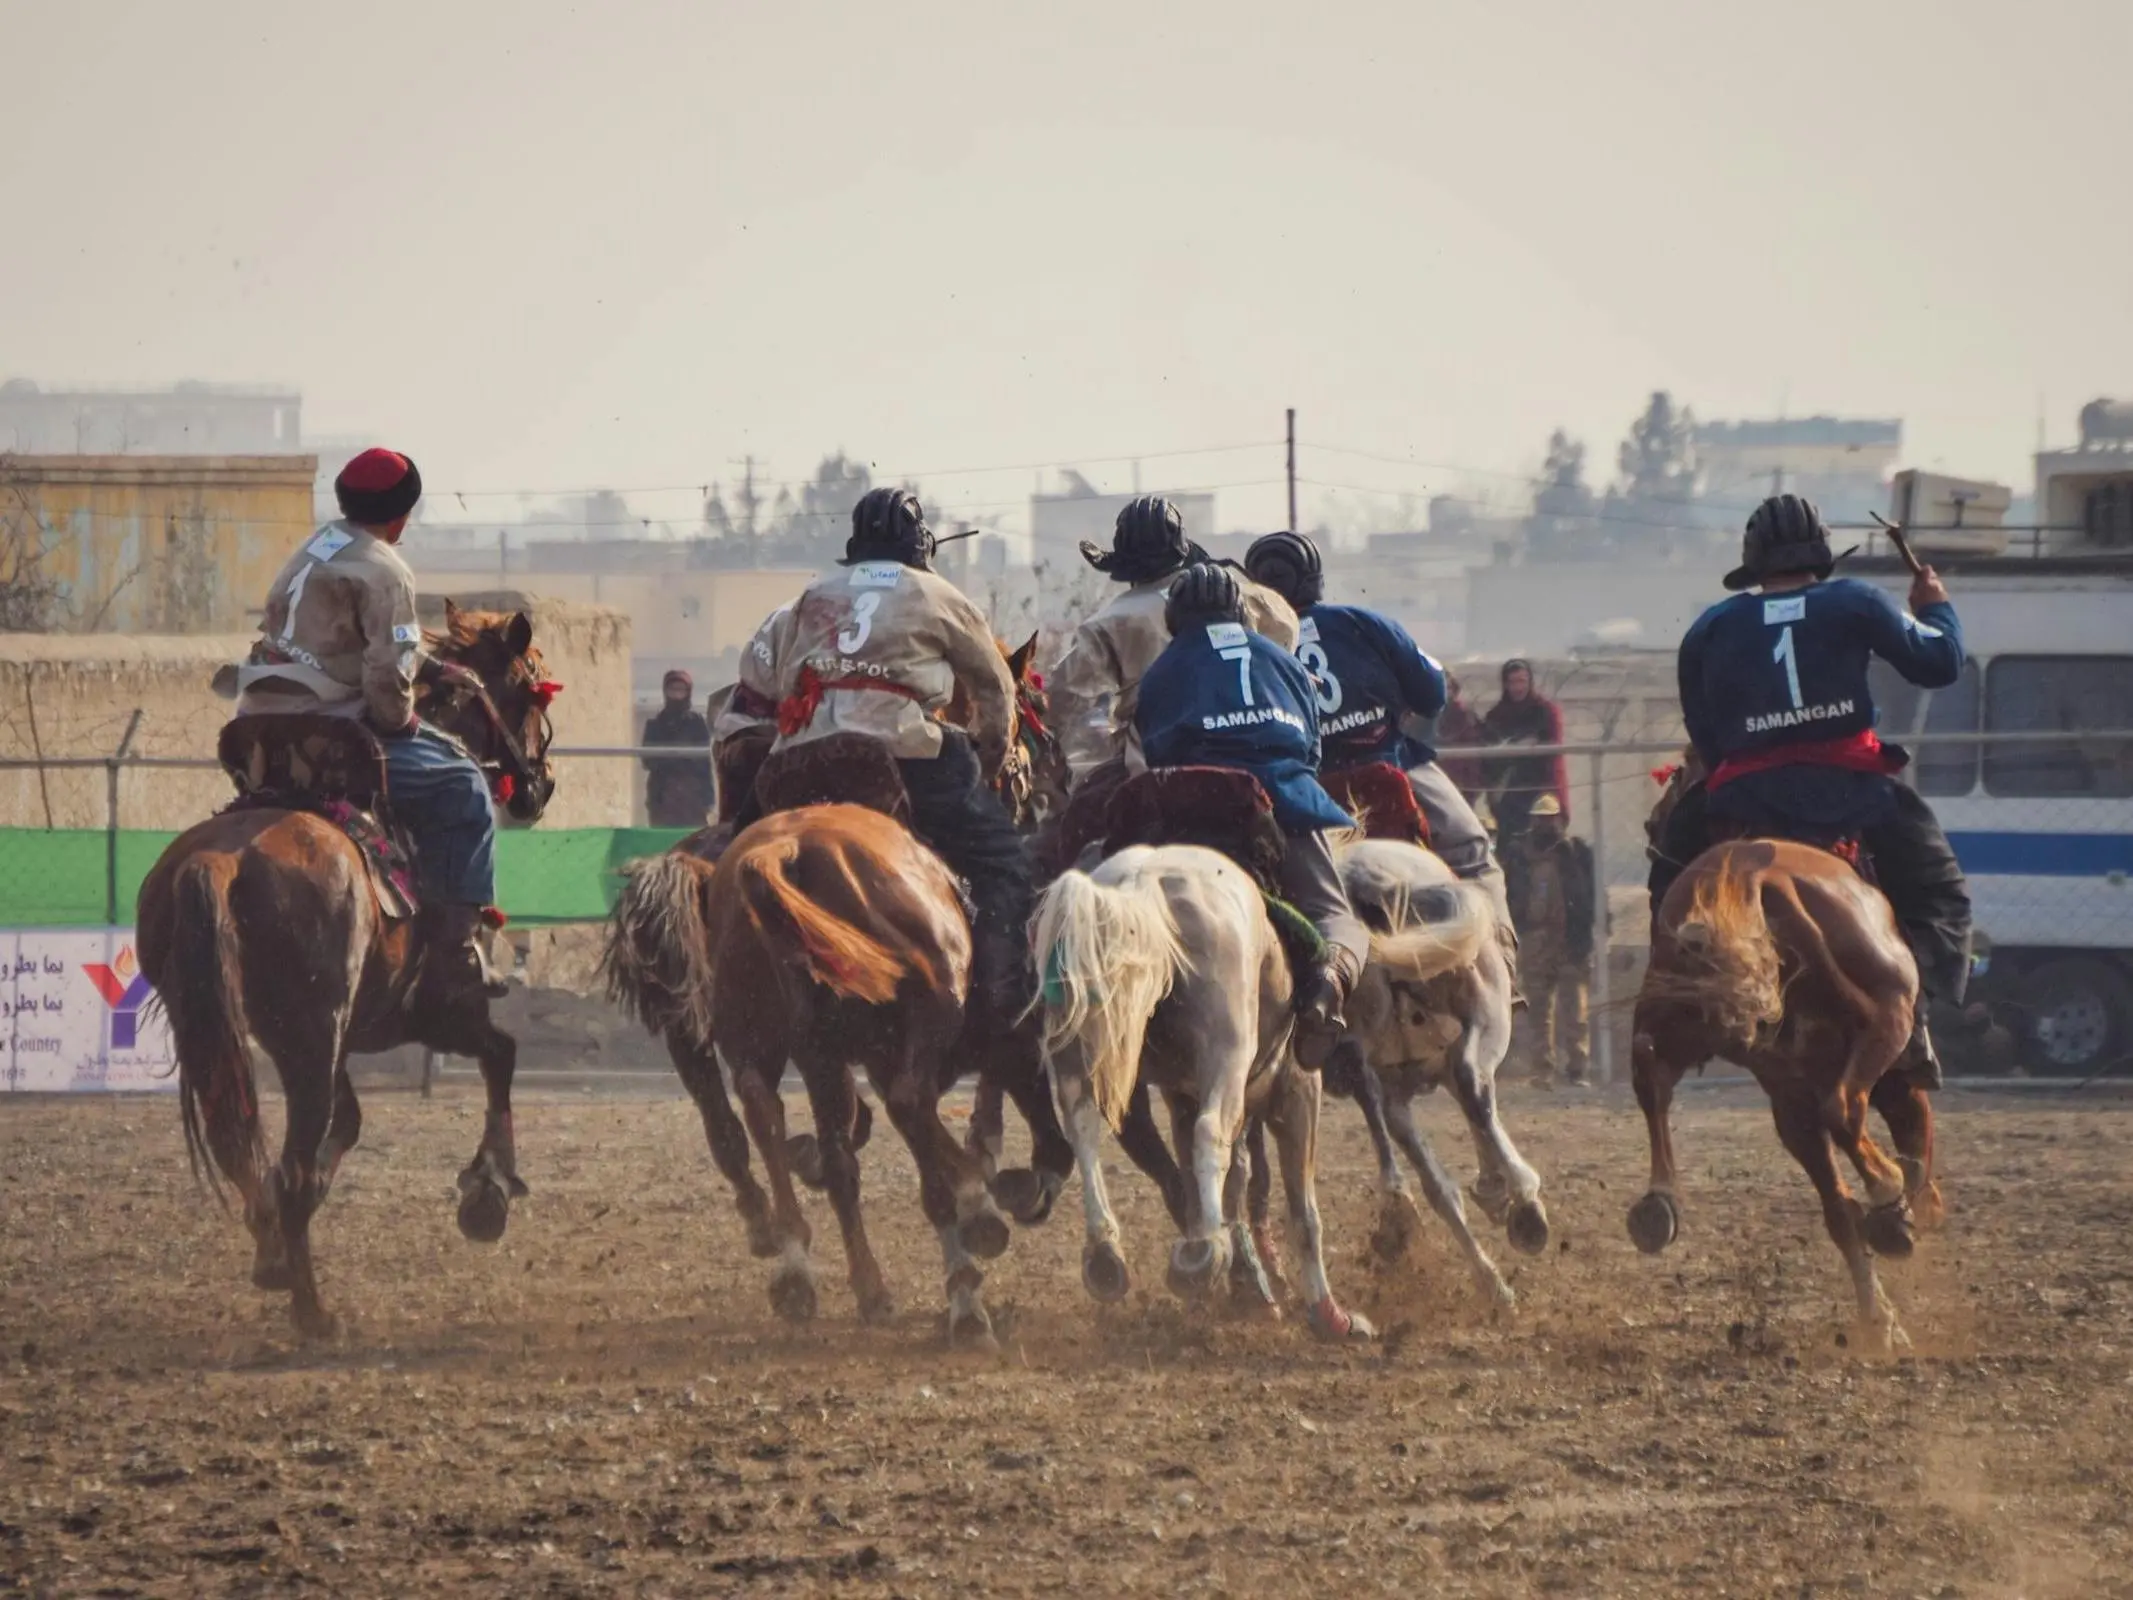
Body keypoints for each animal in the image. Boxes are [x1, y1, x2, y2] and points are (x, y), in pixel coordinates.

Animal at [135, 605, 558, 1348]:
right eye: (531, 686)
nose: (541, 785)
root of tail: (219, 861)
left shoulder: (346, 1038)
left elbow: (353, 1121)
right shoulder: (438, 1013)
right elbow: (501, 1056)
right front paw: (487, 1192)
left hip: (251, 1035)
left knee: (250, 1149)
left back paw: (276, 1251)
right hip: (312, 1036)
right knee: (292, 1162)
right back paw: (313, 1313)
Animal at [1032, 844, 1399, 1348]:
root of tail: (1142, 882)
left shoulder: (1182, 1097)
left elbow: (1217, 1181)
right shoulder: (1298, 1092)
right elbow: (1302, 1212)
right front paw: (1329, 1315)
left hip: (1075, 1045)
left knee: (1083, 1127)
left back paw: (1108, 1254)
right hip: (1227, 1053)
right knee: (1211, 1134)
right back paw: (1203, 1255)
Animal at [1313, 844, 1552, 1305]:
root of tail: (1370, 882)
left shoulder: (1400, 1093)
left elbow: (1441, 1188)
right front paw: (1498, 1193)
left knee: (1376, 1089)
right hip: (1485, 1017)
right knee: (1473, 1088)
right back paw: (1524, 1202)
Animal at [1621, 755, 1945, 1356]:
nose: (1654, 832)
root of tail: (1755, 878)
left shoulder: (1790, 1104)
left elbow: (1837, 1210)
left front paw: (1879, 1319)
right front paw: (1897, 1219)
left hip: (1682, 1009)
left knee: (1648, 1067)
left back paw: (1658, 1206)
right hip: (1886, 1019)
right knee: (1847, 1109)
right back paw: (1888, 1192)